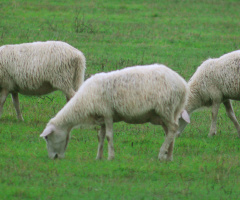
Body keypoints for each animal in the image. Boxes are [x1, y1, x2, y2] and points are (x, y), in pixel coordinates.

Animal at [39, 64, 189, 161]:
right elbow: (100, 136)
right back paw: (169, 156)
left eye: (47, 138)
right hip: (169, 112)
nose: (53, 158)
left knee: (173, 129)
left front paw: (110, 157)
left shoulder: (107, 114)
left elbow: (109, 136)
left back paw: (161, 154)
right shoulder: (101, 117)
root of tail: (182, 85)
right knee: (170, 132)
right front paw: (98, 157)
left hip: (166, 109)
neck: (83, 102)